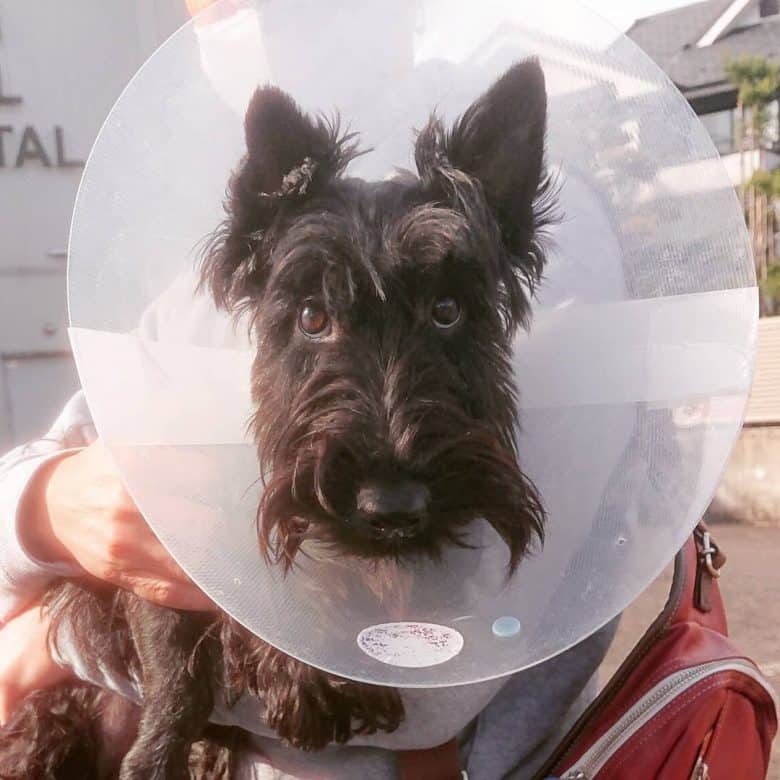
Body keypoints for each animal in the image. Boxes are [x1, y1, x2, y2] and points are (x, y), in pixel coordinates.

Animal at [0, 61, 548, 780]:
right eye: (312, 315)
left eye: (448, 311)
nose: (393, 507)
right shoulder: (147, 545)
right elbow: (176, 670)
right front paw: (166, 750)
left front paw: (318, 679)